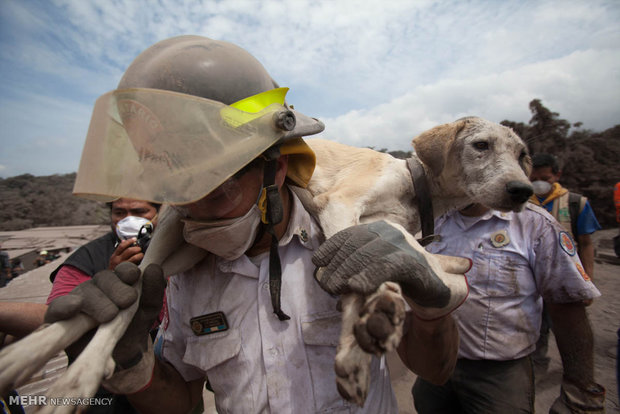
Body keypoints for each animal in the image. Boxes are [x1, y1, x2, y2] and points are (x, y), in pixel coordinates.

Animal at [294, 115, 532, 404]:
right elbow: (359, 289)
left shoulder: (371, 232)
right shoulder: (339, 203)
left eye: (522, 155)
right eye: (481, 145)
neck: (416, 189)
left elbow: (372, 278)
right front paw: (354, 355)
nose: (523, 190)